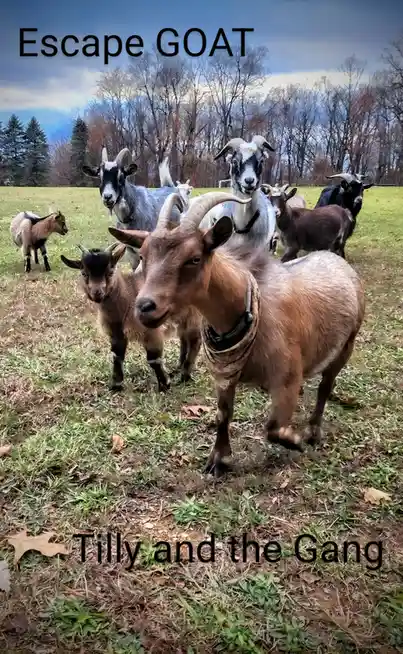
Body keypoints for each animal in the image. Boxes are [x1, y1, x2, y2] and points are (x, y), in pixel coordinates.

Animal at [60, 235, 201, 392]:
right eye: (84, 273)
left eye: (110, 271)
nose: (97, 293)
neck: (129, 295)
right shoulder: (116, 334)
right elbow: (116, 356)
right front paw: (116, 384)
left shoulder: (151, 332)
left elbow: (154, 360)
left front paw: (165, 385)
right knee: (184, 337)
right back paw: (179, 366)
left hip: (193, 315)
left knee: (195, 340)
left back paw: (185, 375)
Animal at [109, 191, 365, 478]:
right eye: (143, 256)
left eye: (194, 258)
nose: (145, 306)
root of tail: (341, 264)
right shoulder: (224, 377)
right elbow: (223, 414)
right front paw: (219, 460)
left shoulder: (287, 377)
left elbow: (274, 428)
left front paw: (296, 441)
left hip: (347, 345)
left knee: (325, 387)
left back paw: (313, 432)